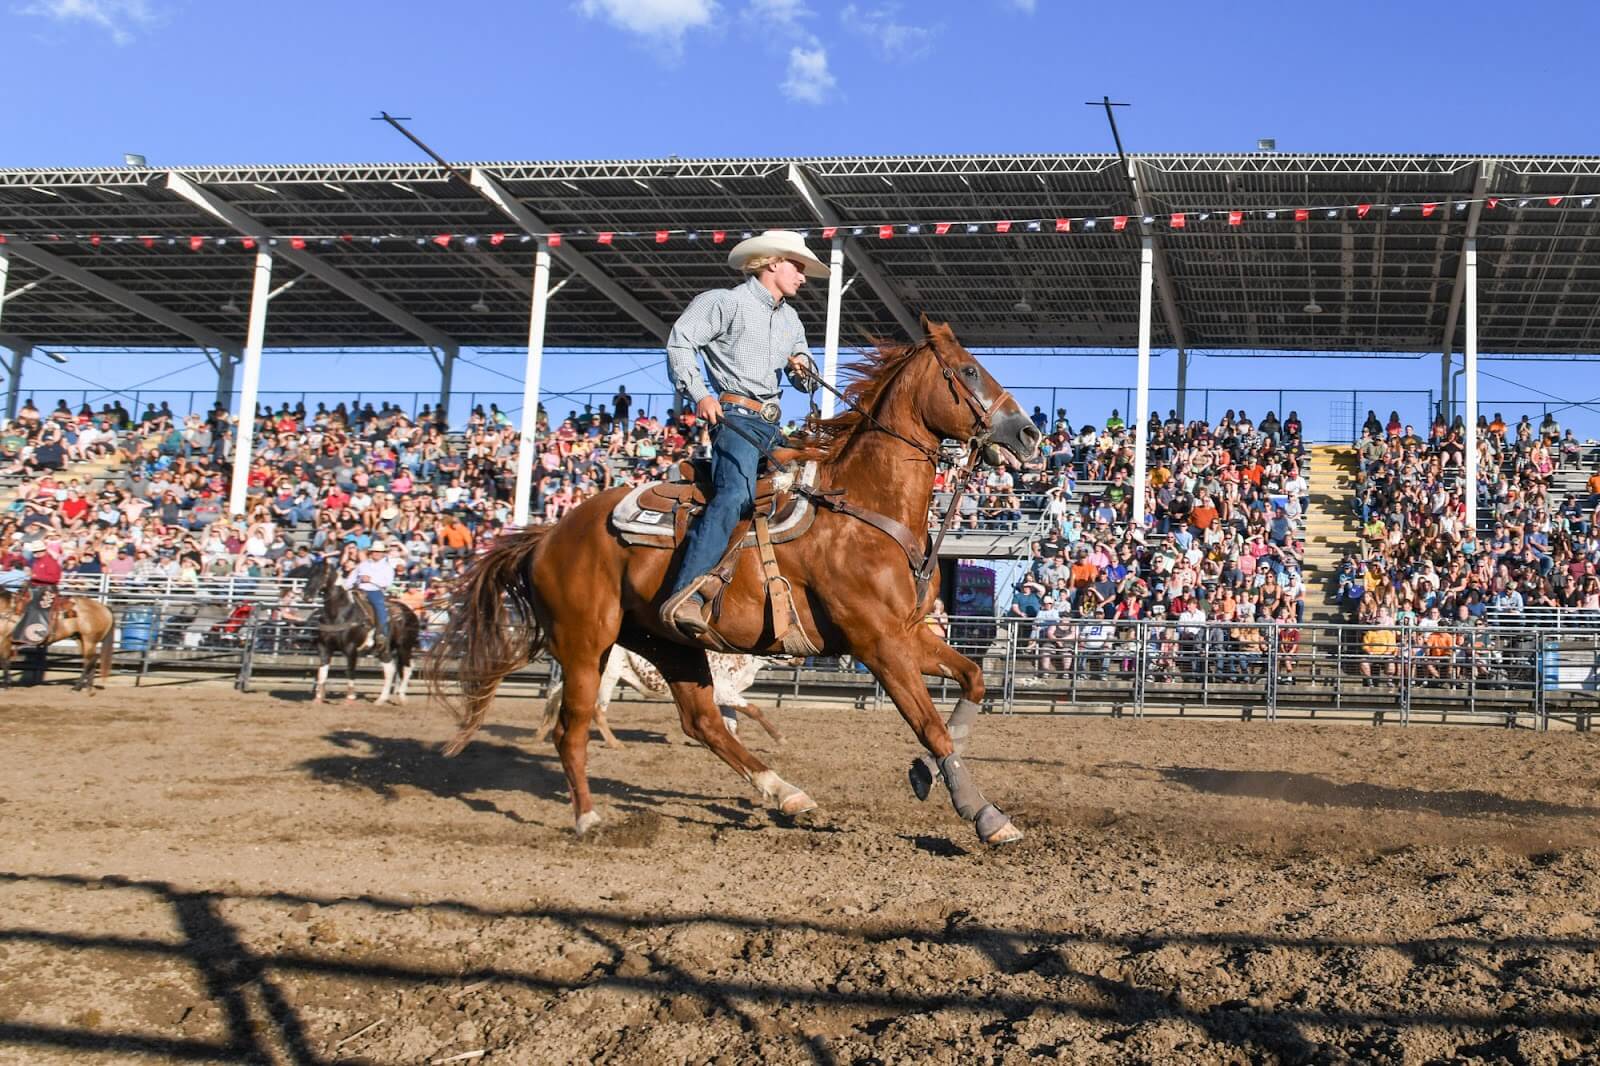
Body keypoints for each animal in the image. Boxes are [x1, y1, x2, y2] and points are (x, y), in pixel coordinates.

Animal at [300, 560, 419, 701]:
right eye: (309, 574)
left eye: (323, 574)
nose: (306, 597)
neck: (339, 614)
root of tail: (409, 612)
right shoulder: (324, 647)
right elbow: (323, 672)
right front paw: (318, 698)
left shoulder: (351, 648)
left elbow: (350, 670)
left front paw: (351, 697)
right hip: (384, 648)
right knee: (390, 668)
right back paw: (381, 699)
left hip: (404, 646)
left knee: (407, 667)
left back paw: (401, 696)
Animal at [425, 320, 1043, 845]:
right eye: (968, 371)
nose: (1031, 433)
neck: (863, 509)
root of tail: (550, 534)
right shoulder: (878, 643)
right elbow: (930, 726)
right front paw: (985, 816)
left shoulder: (909, 632)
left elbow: (973, 683)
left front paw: (930, 774)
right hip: (585, 645)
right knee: (571, 728)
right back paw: (589, 818)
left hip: (667, 643)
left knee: (701, 722)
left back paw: (786, 793)